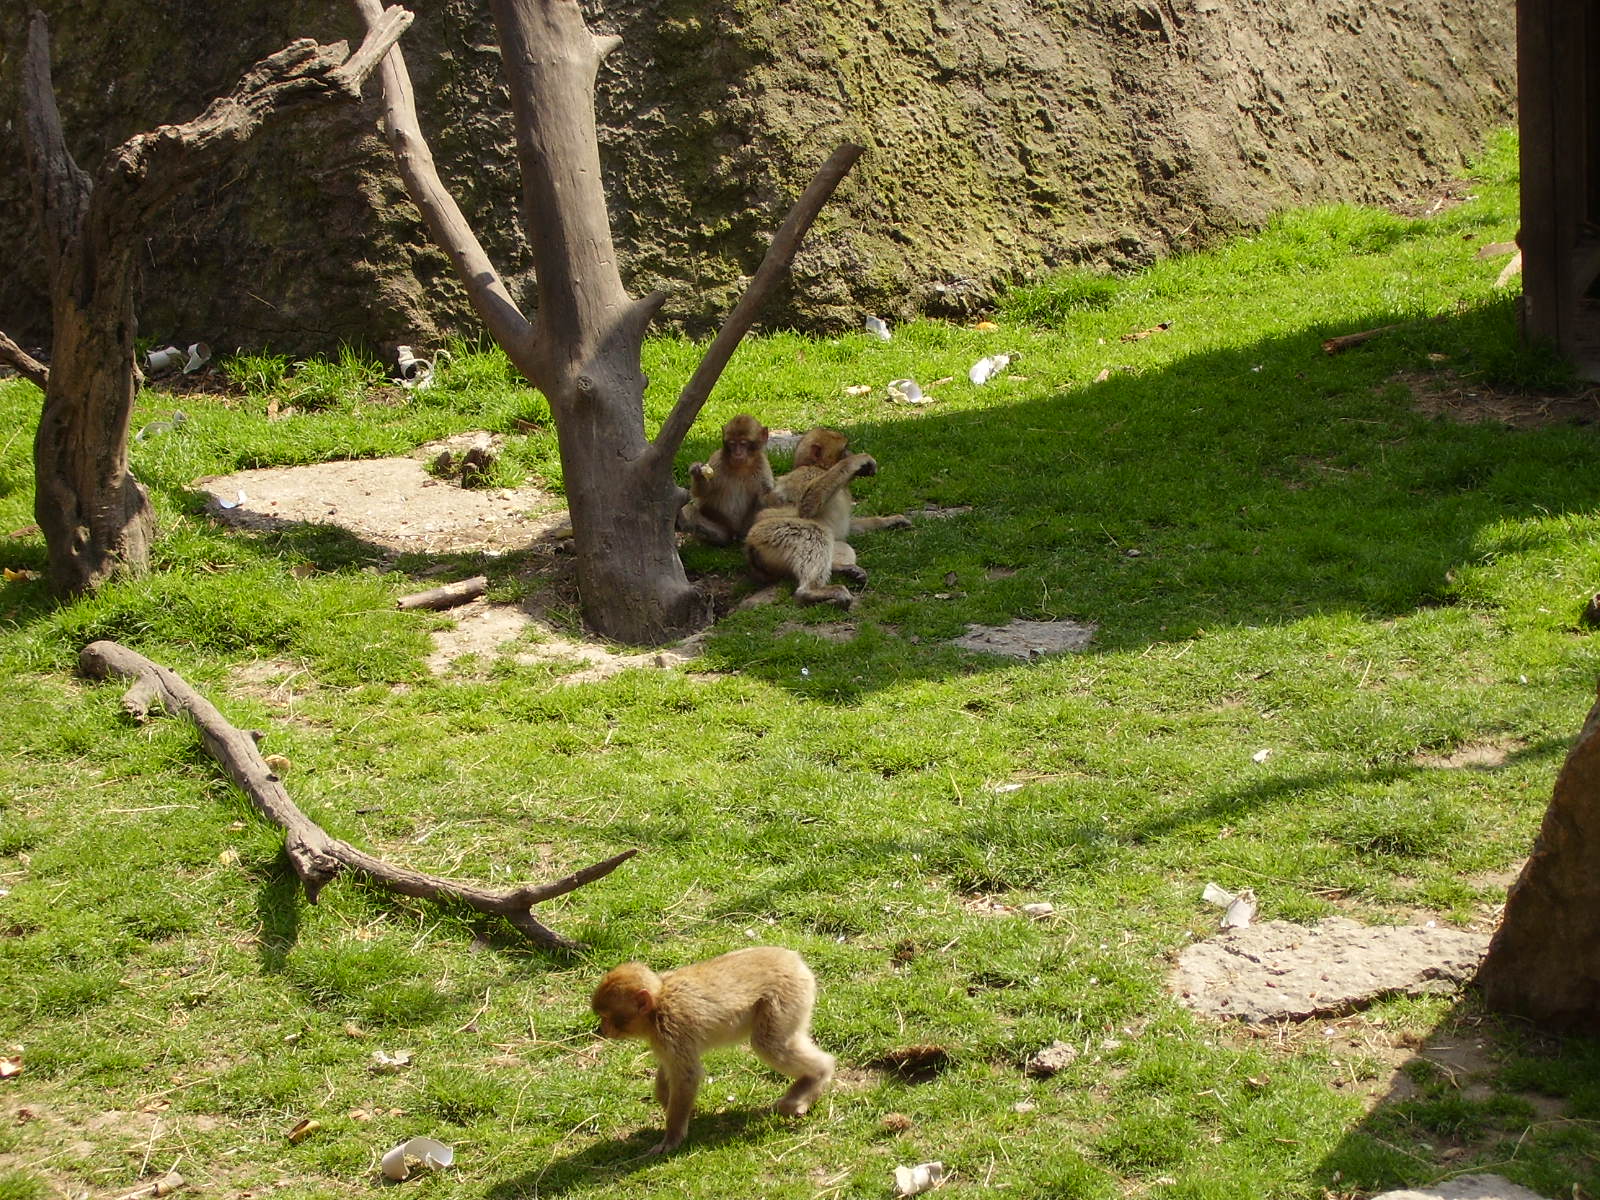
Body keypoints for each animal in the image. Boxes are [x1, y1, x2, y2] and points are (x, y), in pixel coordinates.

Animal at [591, 946, 835, 1155]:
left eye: (607, 1017)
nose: (602, 1028)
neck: (657, 1006)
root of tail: (794, 959)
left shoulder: (672, 1029)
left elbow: (687, 1077)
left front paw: (673, 1136)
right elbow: (670, 1071)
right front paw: (669, 1100)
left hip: (787, 997)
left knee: (769, 1044)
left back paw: (819, 1075)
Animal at [676, 414, 775, 546]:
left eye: (743, 443)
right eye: (732, 443)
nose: (737, 453)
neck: (741, 467)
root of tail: (734, 534)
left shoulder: (762, 465)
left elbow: (765, 499)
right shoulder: (717, 460)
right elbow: (702, 493)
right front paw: (698, 473)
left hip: (745, 530)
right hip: (722, 528)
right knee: (689, 511)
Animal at [745, 448, 880, 608]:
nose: (849, 453)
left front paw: (890, 521)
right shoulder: (809, 472)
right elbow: (807, 506)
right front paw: (854, 461)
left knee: (839, 543)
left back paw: (840, 568)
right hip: (767, 534)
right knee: (815, 532)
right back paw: (811, 591)